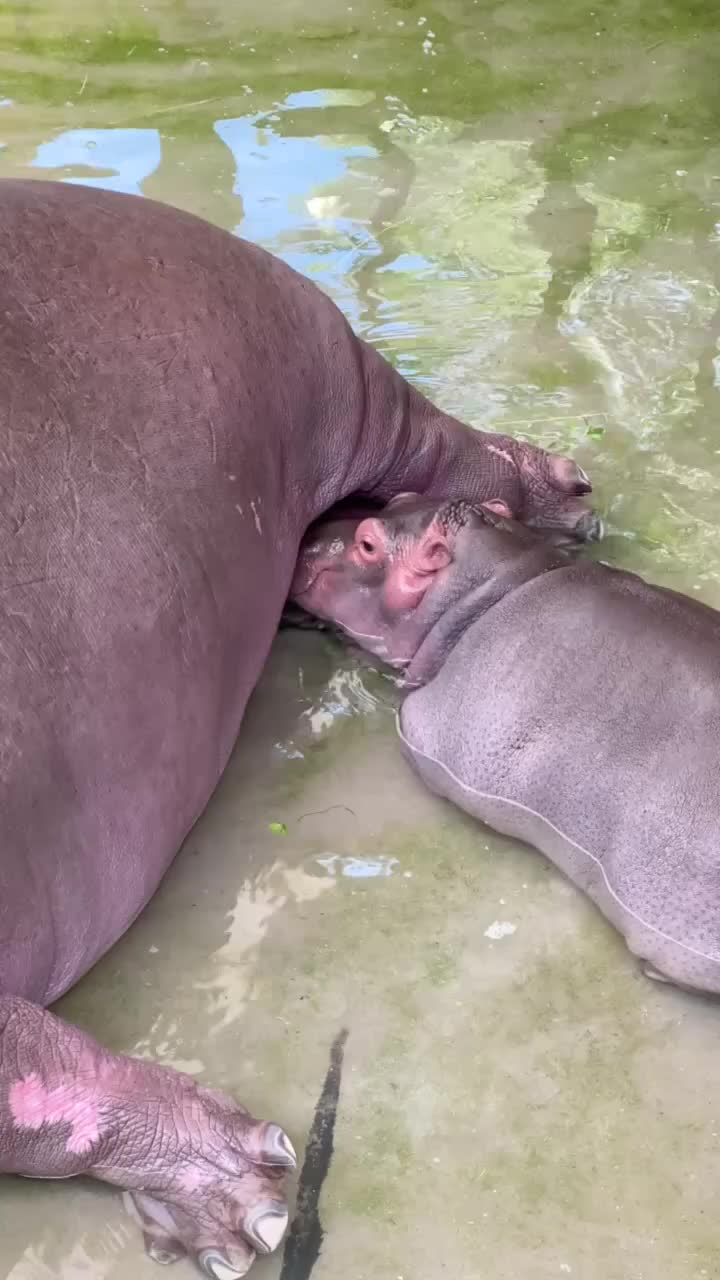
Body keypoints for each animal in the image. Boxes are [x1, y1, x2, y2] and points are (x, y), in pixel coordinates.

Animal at [0, 179, 597, 1278]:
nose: (583, 480)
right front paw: (247, 1207)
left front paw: (252, 1204)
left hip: (333, 368)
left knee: (443, 445)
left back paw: (550, 495)